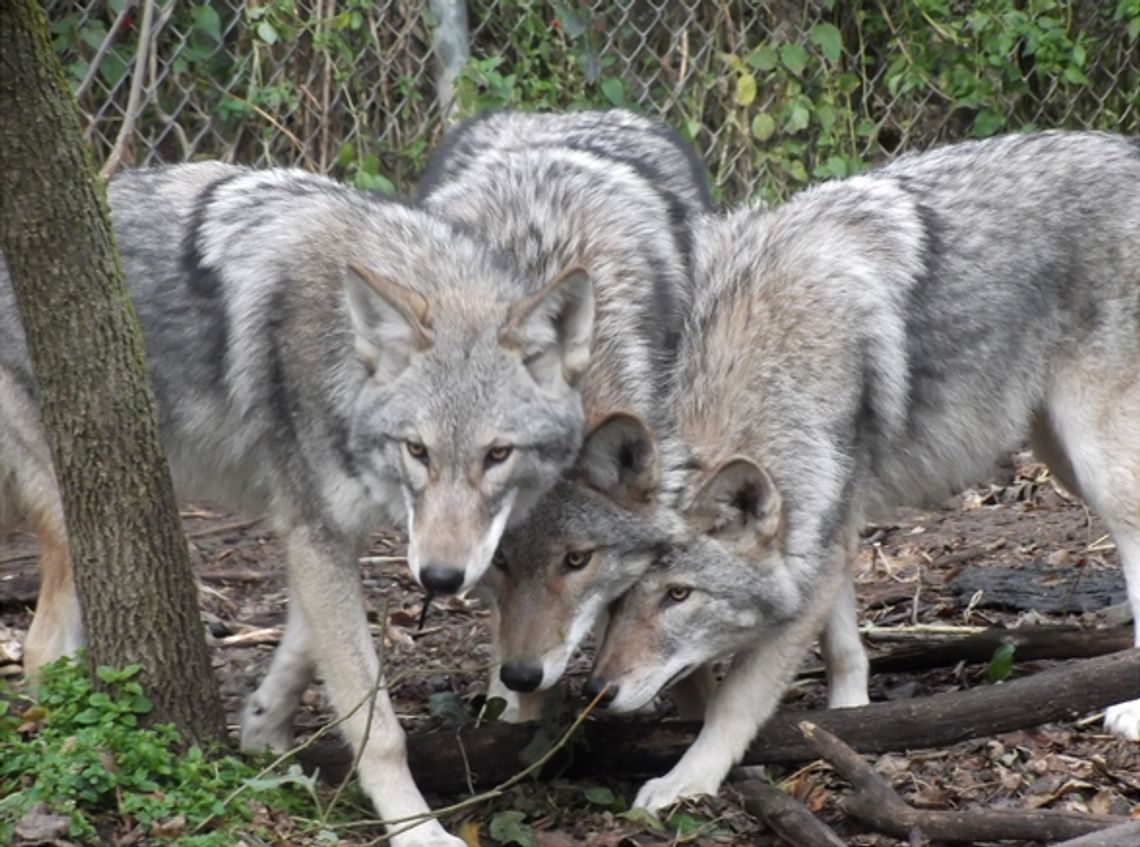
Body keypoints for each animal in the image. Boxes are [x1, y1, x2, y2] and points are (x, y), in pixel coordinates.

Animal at [0, 160, 611, 847]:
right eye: (418, 450)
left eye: (498, 455)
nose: (440, 578)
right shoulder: (316, 532)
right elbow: (377, 725)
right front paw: (417, 830)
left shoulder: (320, 532)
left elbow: (301, 645)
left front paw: (263, 731)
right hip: (79, 514)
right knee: (41, 651)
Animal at [583, 129, 1140, 811]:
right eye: (617, 598)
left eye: (678, 595)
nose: (598, 692)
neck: (769, 355)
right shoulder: (832, 526)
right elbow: (845, 645)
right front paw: (850, 721)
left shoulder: (817, 548)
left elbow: (738, 700)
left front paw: (686, 779)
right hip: (1061, 454)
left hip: (1099, 461)